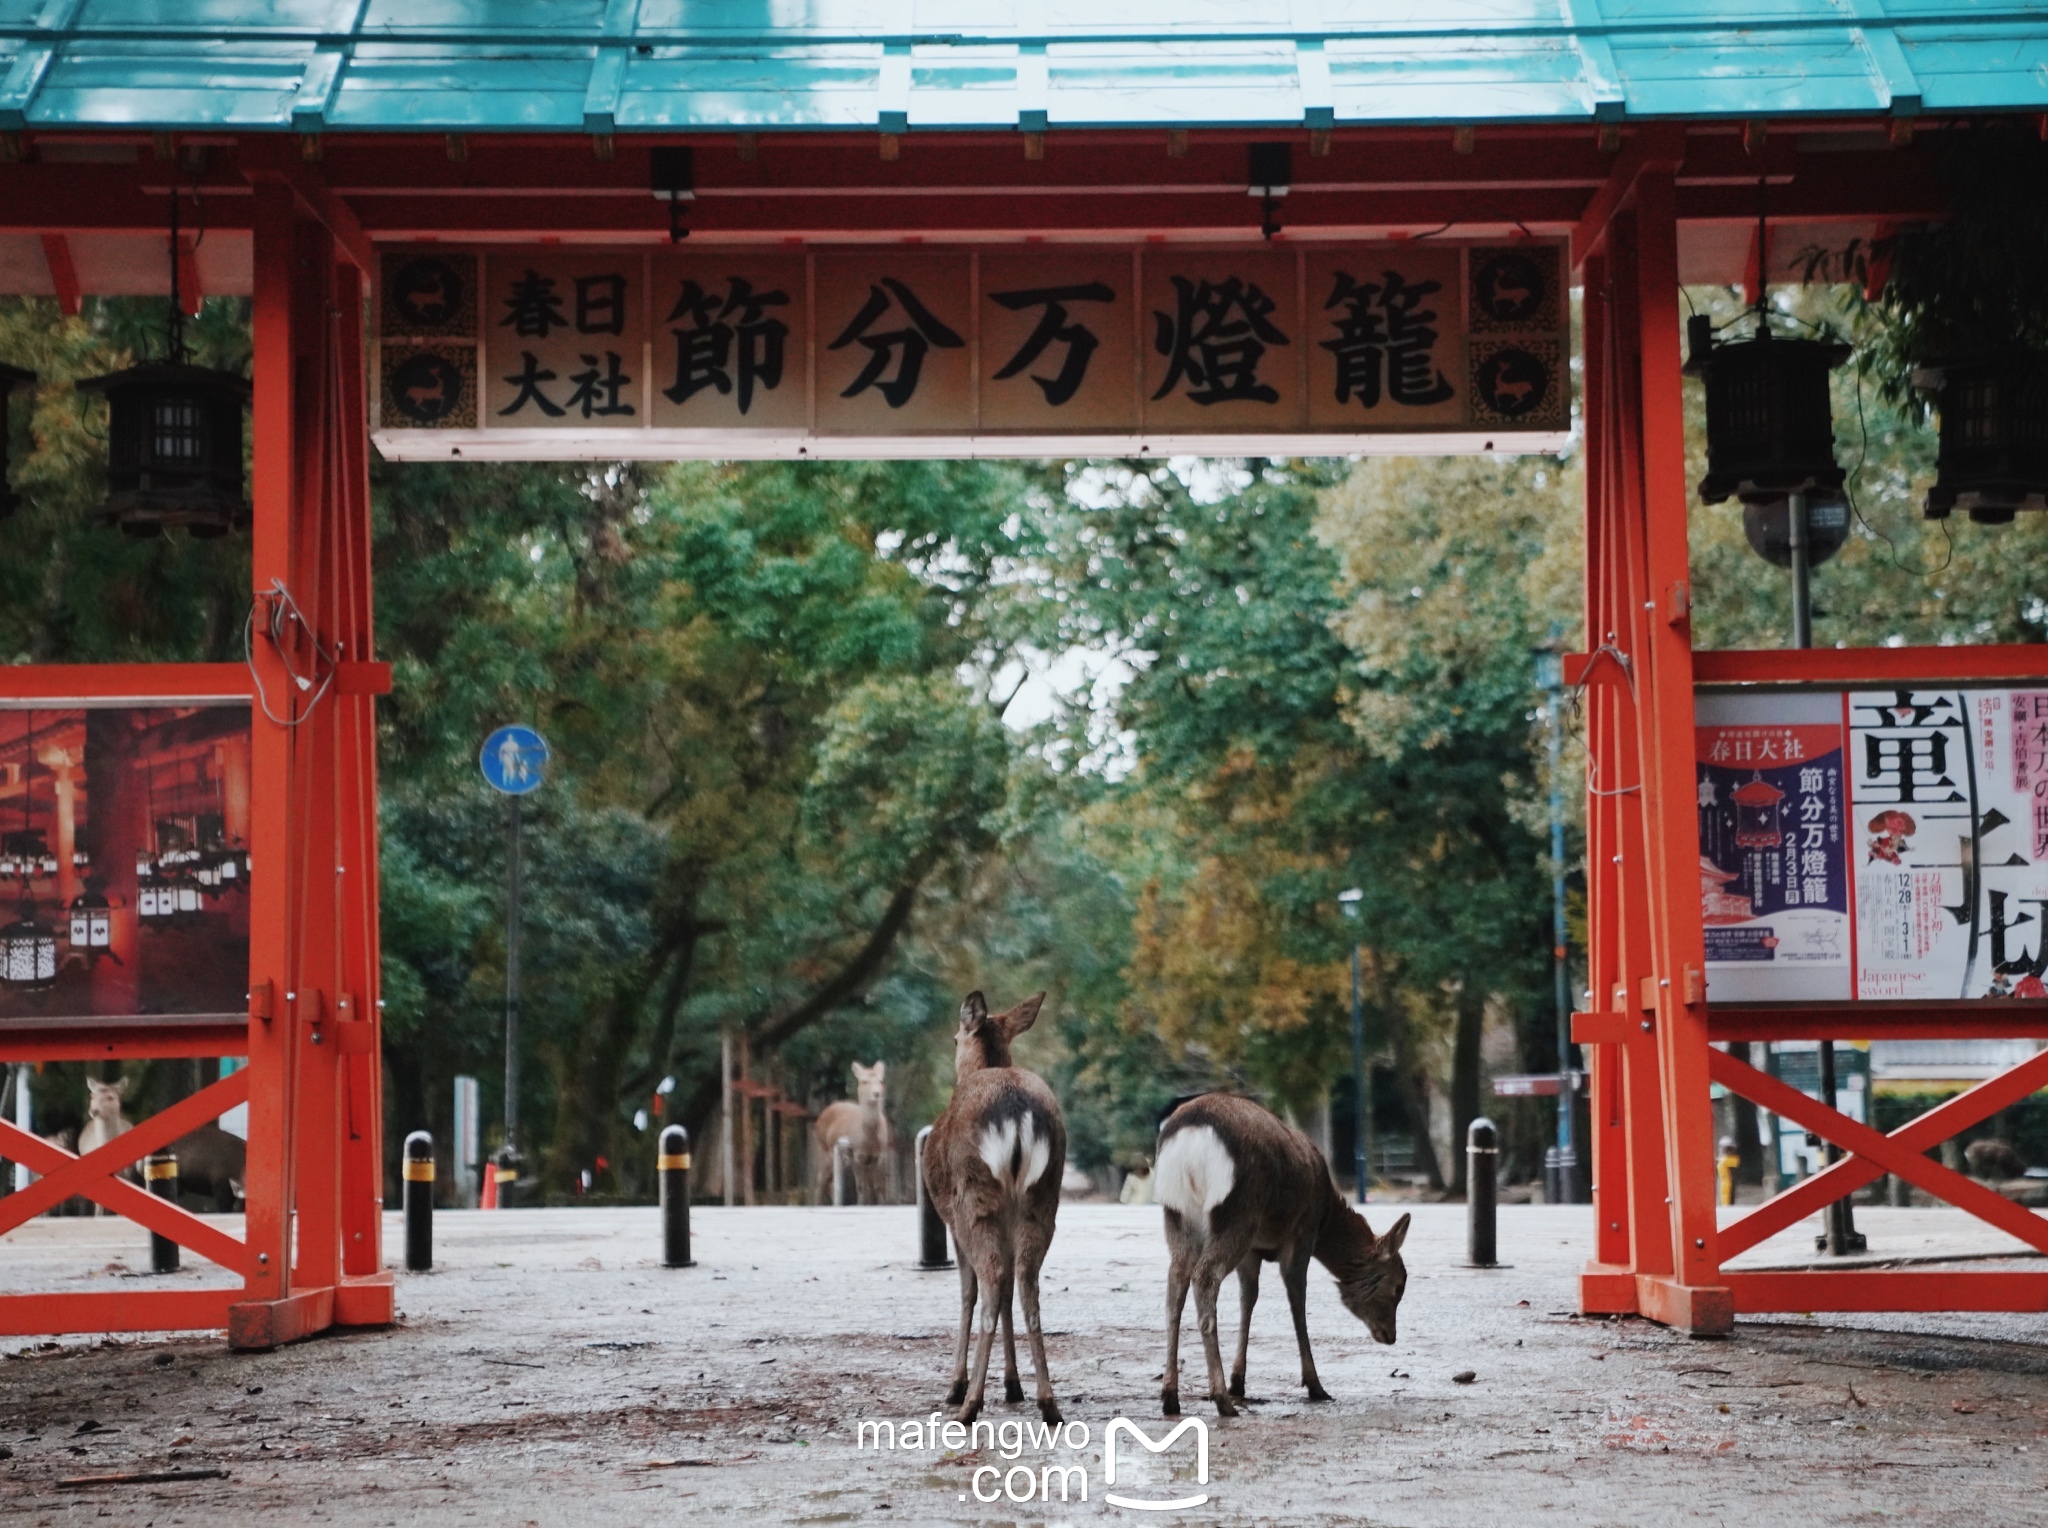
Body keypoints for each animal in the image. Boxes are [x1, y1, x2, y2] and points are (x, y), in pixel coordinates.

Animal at [806, 1056, 888, 1204]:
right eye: (864, 1081)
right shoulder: (856, 1155)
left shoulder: (881, 1156)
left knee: (831, 1183)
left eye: (880, 1080)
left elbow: (878, 1189)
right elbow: (861, 1187)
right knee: (821, 1180)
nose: (877, 1093)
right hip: (823, 1149)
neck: (869, 1140)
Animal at [921, 995, 1064, 1425]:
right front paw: (1013, 1384)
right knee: (1026, 1279)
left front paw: (956, 1385)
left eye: (955, 1039)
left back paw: (969, 1403)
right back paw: (1049, 1402)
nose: (953, 1043)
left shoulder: (952, 1222)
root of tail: (1016, 1114)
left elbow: (969, 1291)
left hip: (974, 1198)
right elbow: (1006, 1295)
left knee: (992, 1277)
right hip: (1043, 1196)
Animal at [1155, 1089, 1409, 1409]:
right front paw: (1315, 1385)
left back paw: (1170, 1395)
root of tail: (1190, 1140)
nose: (1390, 1335)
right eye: (1399, 1285)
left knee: (1176, 1281)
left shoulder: (1253, 1250)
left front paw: (1239, 1380)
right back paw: (1221, 1399)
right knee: (1204, 1276)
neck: (1326, 1214)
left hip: (1177, 1213)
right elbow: (1297, 1298)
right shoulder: (1302, 1232)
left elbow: (1248, 1298)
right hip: (1238, 1209)